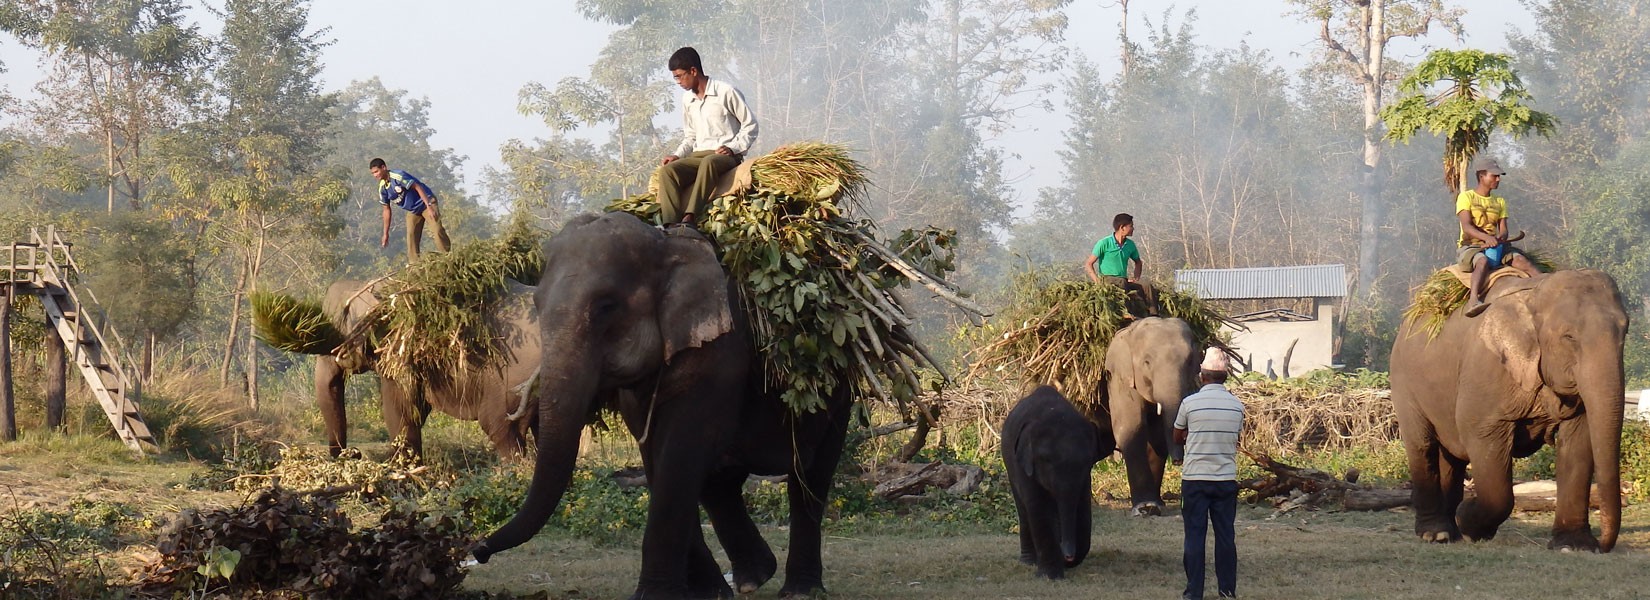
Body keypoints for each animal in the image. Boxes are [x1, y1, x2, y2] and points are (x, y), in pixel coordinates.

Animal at [310, 276, 541, 458]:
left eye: (330, 336)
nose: (353, 453)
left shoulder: (403, 351)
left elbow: (400, 410)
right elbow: (416, 410)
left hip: (513, 377)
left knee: (501, 428)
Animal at [471, 212, 858, 600]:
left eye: (606, 306)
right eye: (536, 306)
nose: (478, 549)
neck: (666, 246)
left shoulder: (720, 351)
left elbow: (680, 452)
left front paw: (656, 595)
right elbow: (658, 459)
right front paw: (706, 593)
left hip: (840, 395)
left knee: (810, 479)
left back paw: (799, 589)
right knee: (721, 480)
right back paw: (754, 577)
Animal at [996, 387, 1115, 580]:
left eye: (1088, 462)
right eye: (1047, 461)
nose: (1068, 555)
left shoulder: (1084, 478)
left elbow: (1082, 510)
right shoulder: (1024, 467)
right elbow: (1038, 507)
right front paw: (1050, 576)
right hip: (1009, 465)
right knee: (1023, 510)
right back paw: (1029, 561)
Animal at [1095, 318, 1201, 514]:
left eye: (1190, 361)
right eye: (1147, 362)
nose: (1177, 461)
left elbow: (1157, 437)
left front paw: (1156, 505)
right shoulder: (1120, 380)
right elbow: (1131, 428)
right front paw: (1144, 506)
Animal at [1392, 270, 1623, 550]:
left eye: (1625, 330)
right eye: (1569, 337)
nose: (1603, 545)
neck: (1534, 296)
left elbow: (1579, 438)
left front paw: (1573, 545)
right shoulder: (1486, 369)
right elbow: (1479, 431)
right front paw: (1469, 522)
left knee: (1451, 456)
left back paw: (1450, 532)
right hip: (1403, 382)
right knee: (1422, 444)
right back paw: (1436, 534)